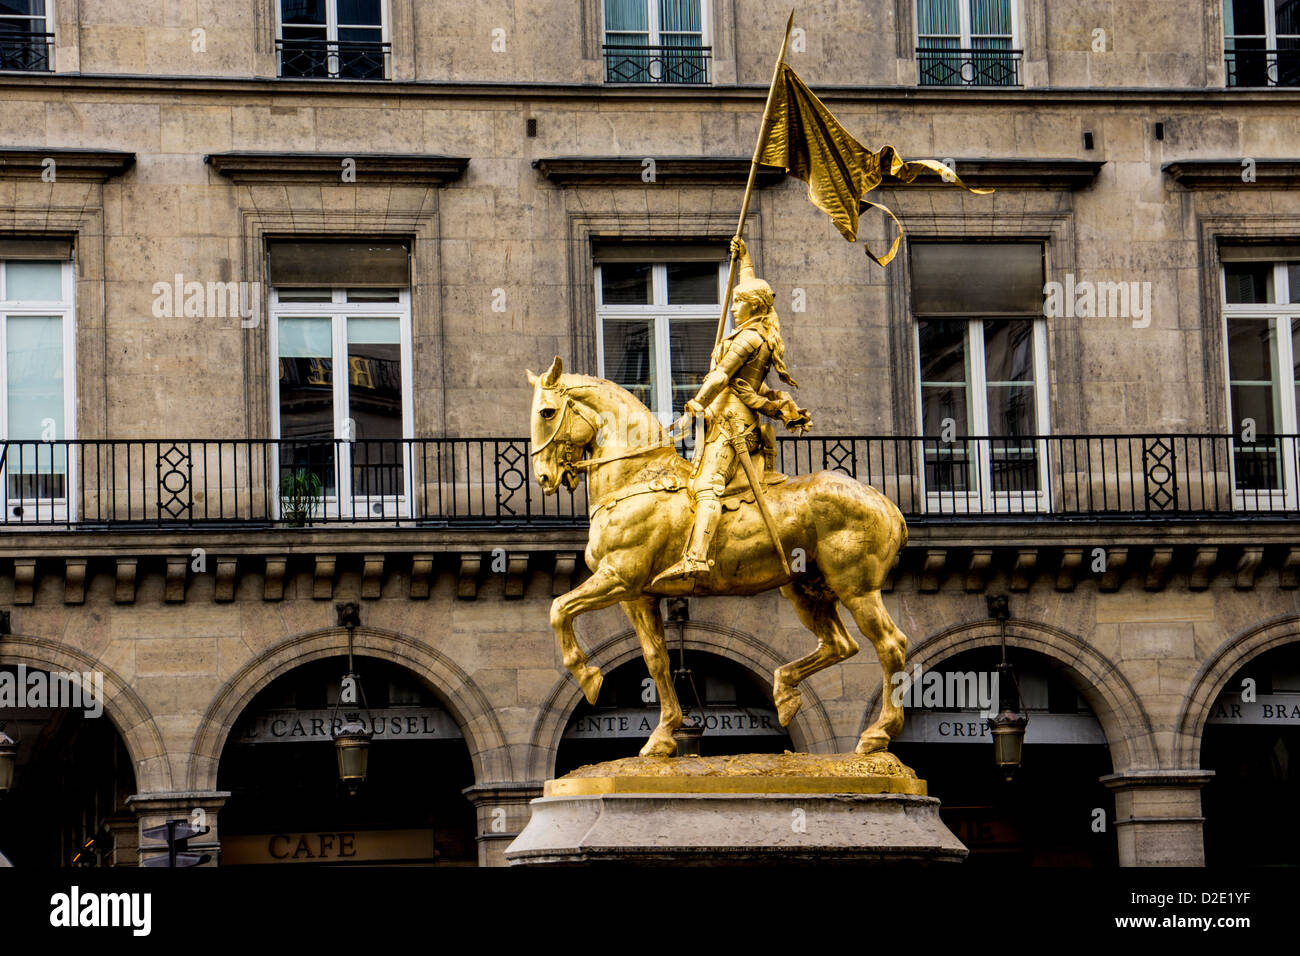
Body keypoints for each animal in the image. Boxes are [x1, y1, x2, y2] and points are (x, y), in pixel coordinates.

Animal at [522, 356, 909, 759]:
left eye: (547, 412)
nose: (544, 478)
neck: (638, 478)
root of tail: (887, 504)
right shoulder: (637, 596)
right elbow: (656, 659)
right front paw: (663, 735)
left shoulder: (618, 577)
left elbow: (558, 609)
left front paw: (588, 676)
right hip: (805, 590)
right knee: (840, 644)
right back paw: (785, 692)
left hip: (856, 589)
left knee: (890, 645)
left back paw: (877, 733)